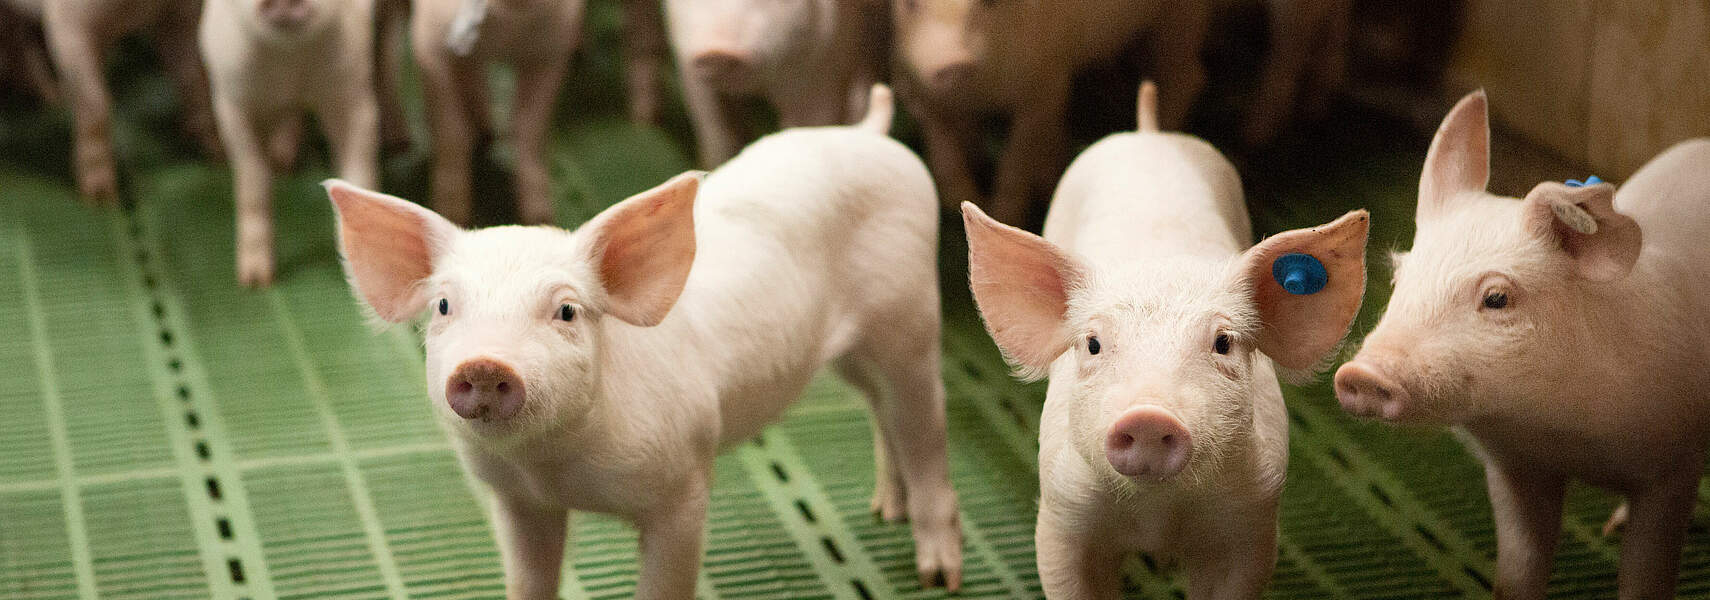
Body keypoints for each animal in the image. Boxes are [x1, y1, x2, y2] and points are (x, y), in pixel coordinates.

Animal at [971, 83, 1368, 598]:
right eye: (1093, 343)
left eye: (1223, 342)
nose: (1147, 414)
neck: (1158, 512)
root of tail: (1149, 132)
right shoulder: (1063, 514)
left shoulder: (1254, 519)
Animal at [1333, 91, 1710, 598]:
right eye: (1398, 278)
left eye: (1497, 298)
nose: (1362, 374)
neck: (1561, 434)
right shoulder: (1515, 467)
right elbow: (1520, 565)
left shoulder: (1670, 468)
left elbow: (1646, 574)